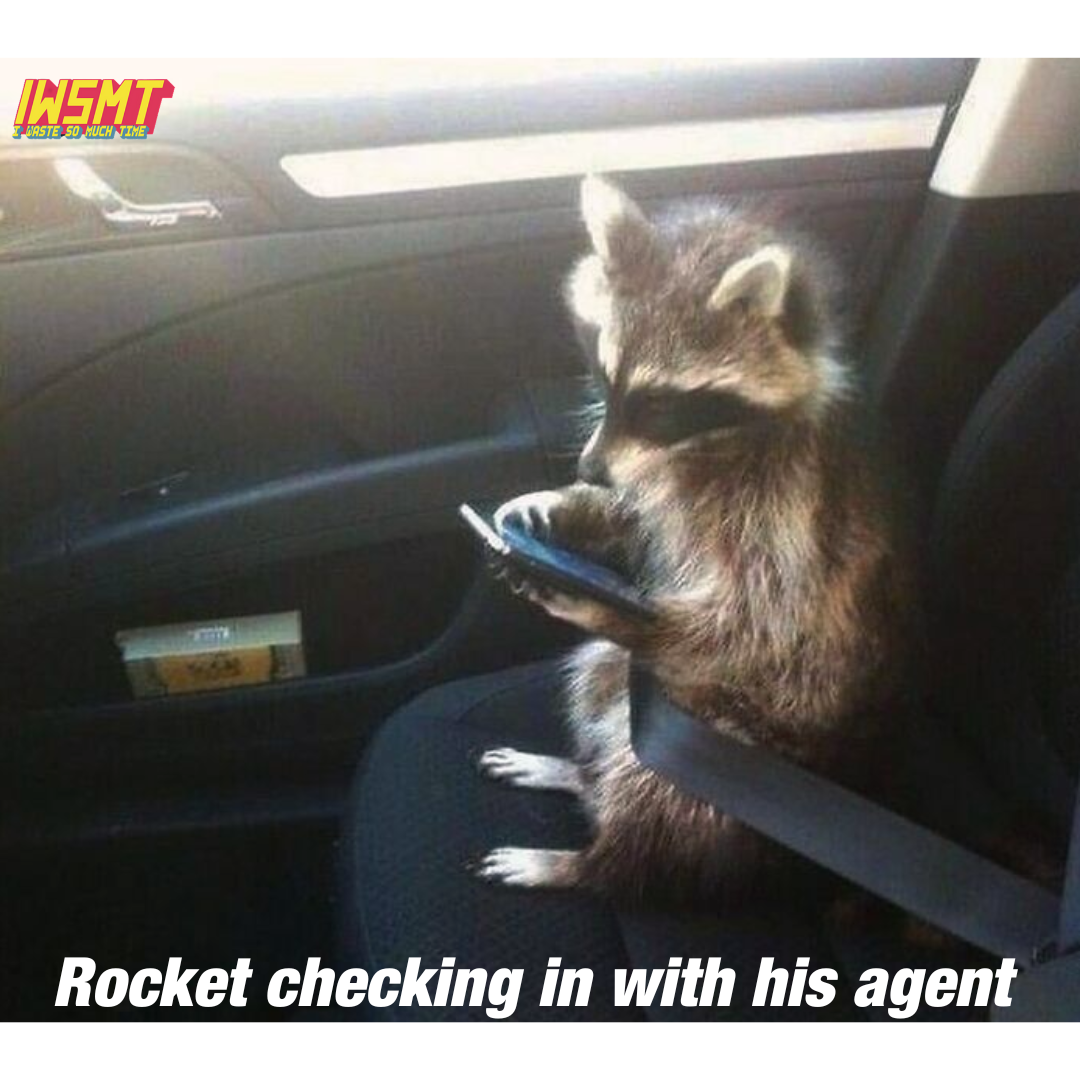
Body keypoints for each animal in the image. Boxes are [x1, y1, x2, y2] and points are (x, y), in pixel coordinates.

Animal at [475, 176, 918, 906]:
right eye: (603, 377)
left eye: (659, 404)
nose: (587, 470)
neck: (702, 440)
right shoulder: (659, 480)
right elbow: (637, 519)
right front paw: (568, 505)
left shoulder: (786, 504)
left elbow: (753, 622)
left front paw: (601, 600)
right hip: (632, 689)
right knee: (597, 676)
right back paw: (579, 774)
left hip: (730, 746)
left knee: (657, 792)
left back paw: (592, 862)